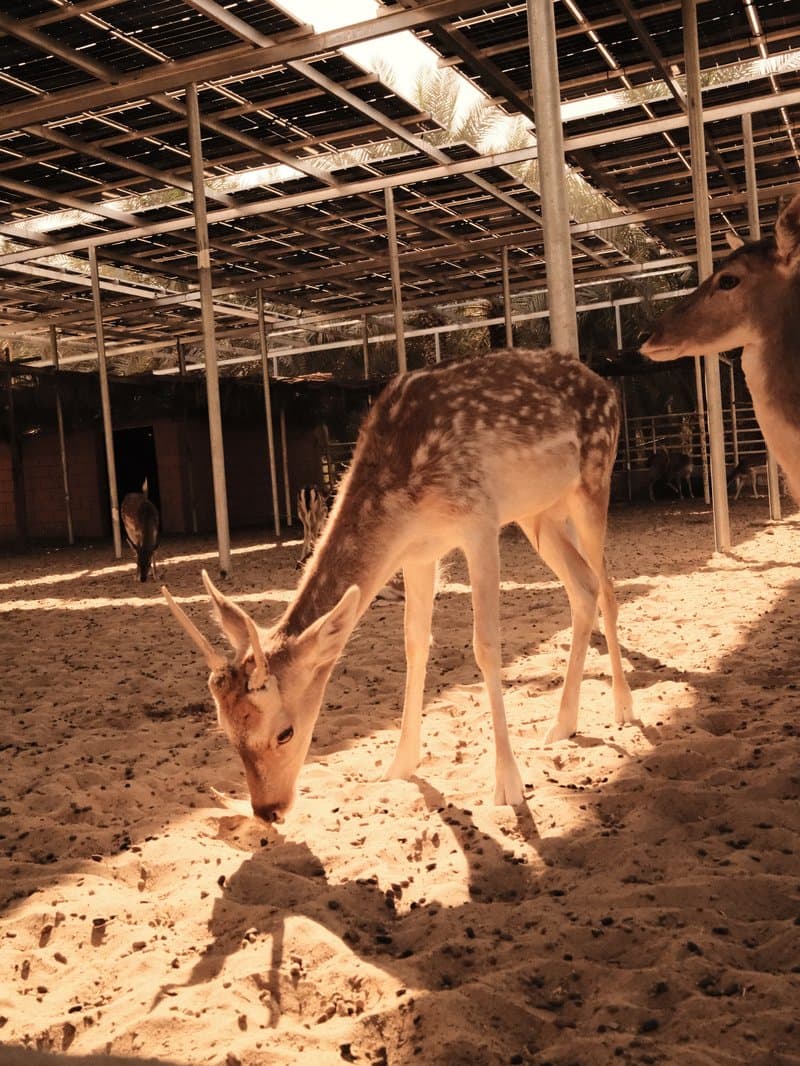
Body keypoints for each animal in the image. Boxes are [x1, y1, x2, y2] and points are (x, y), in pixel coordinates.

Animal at [162, 348, 634, 823]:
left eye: (284, 732)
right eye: (226, 731)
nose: (267, 810)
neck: (404, 502)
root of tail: (608, 388)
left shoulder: (478, 521)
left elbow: (485, 645)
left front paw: (508, 785)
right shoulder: (420, 553)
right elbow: (414, 643)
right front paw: (399, 764)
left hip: (593, 481)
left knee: (607, 586)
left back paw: (623, 707)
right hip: (539, 513)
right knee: (583, 586)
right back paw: (562, 724)